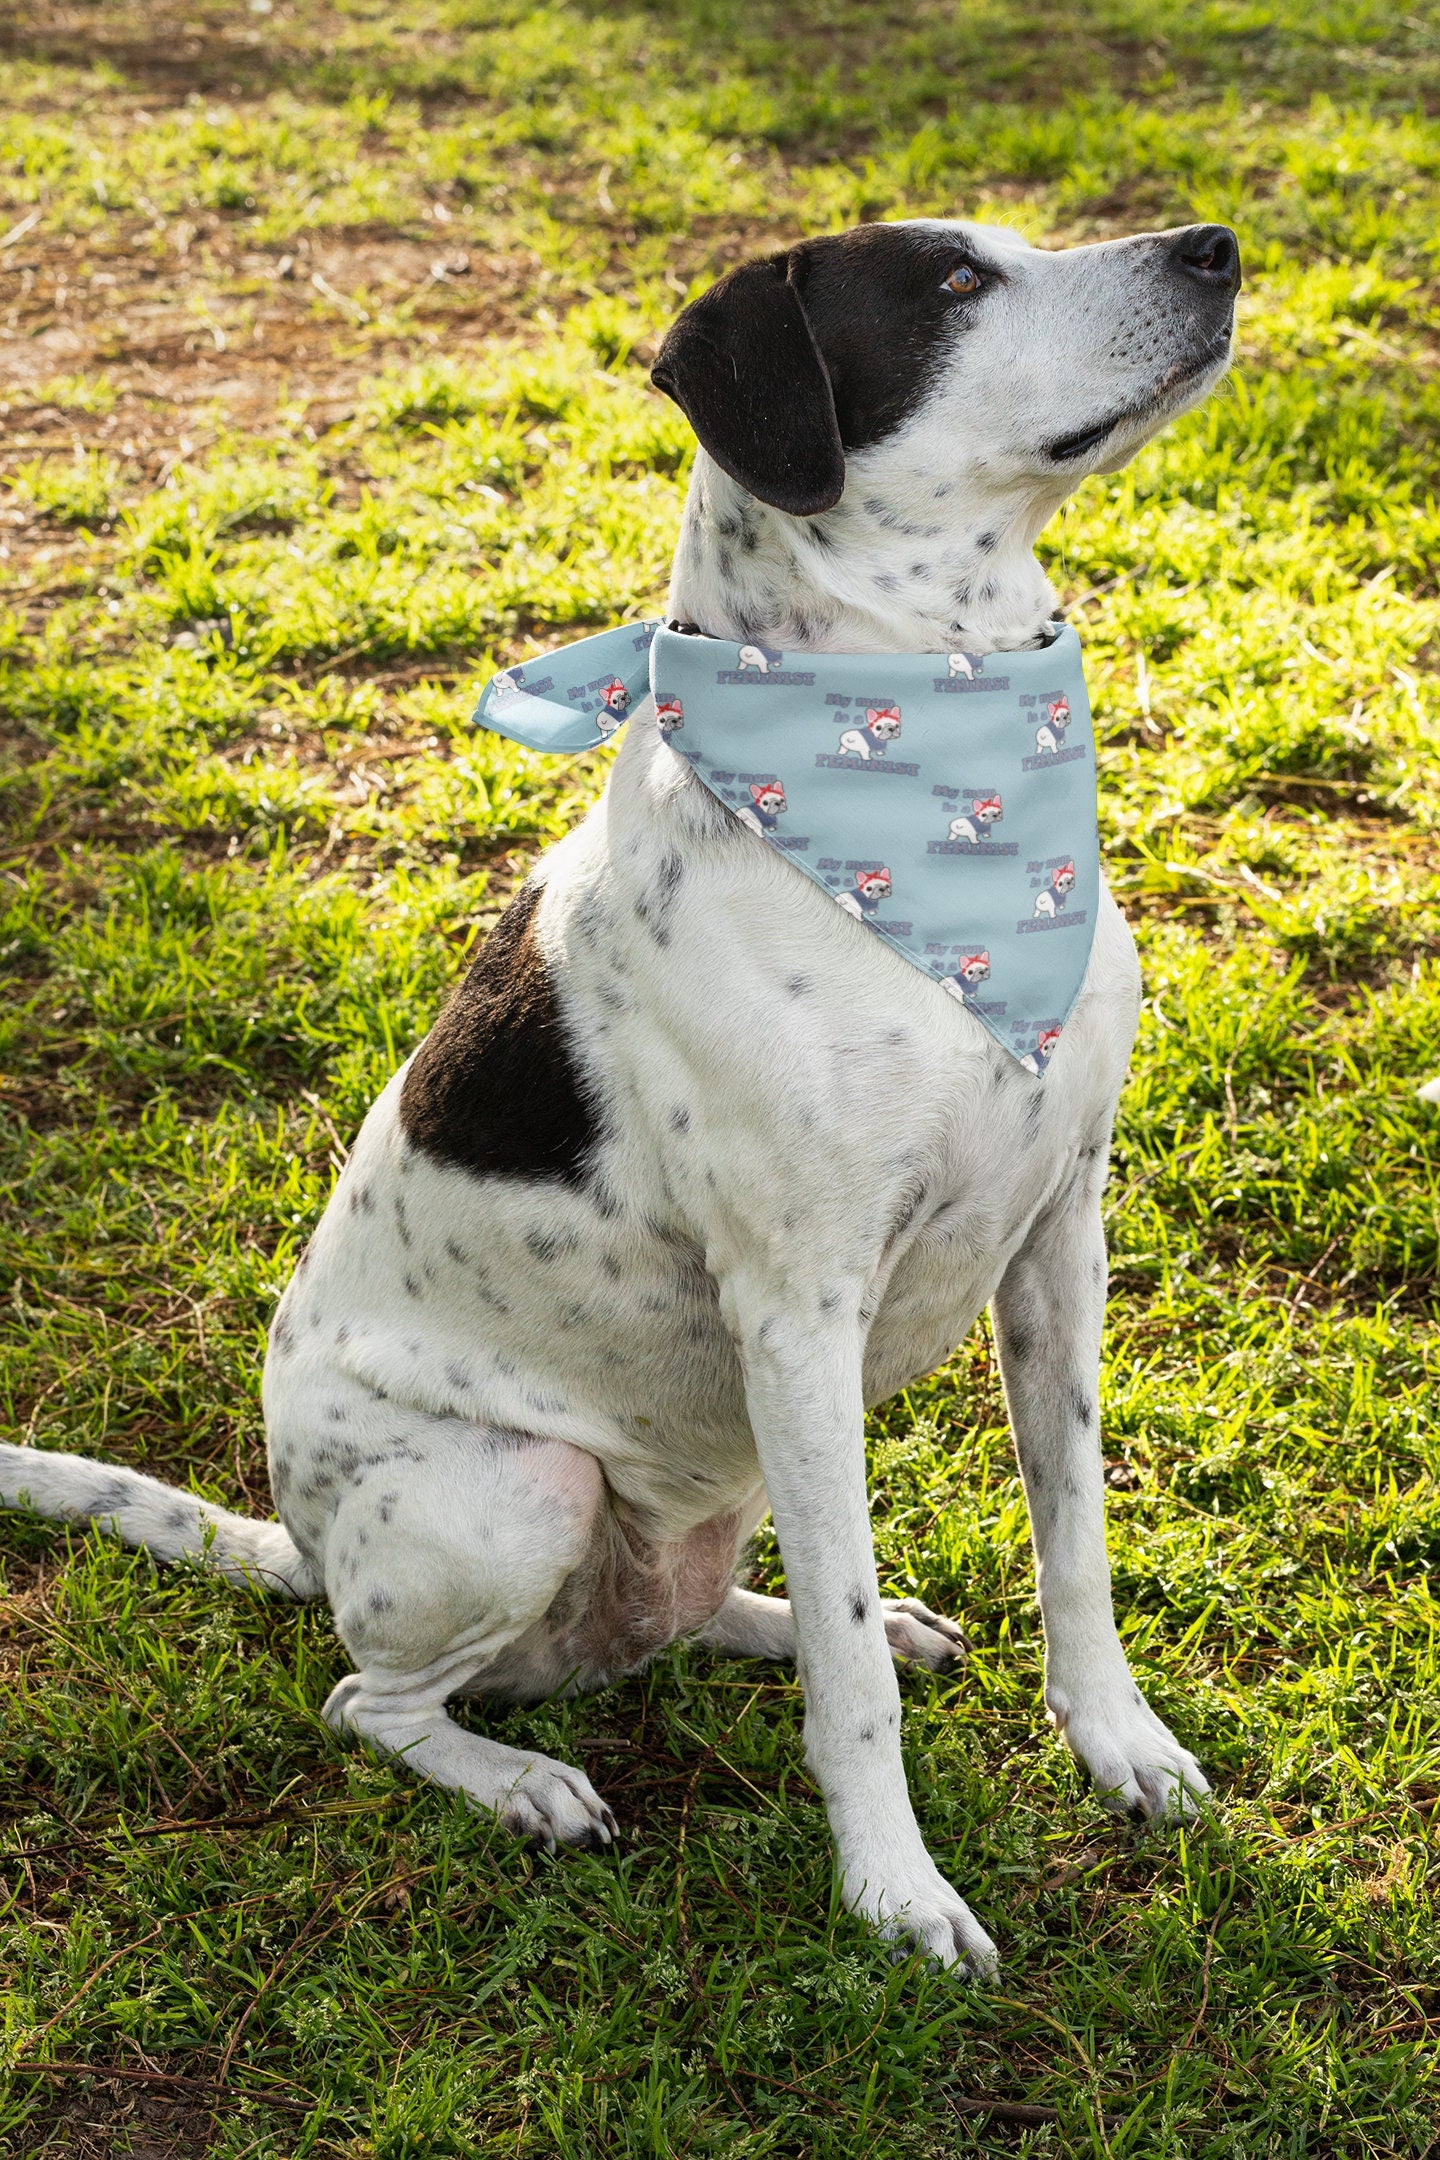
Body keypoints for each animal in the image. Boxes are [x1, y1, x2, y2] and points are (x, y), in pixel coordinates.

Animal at [0, 214, 1243, 1978]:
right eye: (950, 284)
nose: (1212, 246)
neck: (928, 772)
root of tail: (301, 1548)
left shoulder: (1059, 1236)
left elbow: (1075, 1545)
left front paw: (1117, 1745)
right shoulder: (798, 1311)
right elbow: (850, 1697)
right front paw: (894, 1894)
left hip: (698, 1488)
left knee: (696, 1609)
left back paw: (801, 1623)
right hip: (517, 1490)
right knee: (372, 1701)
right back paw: (518, 1781)